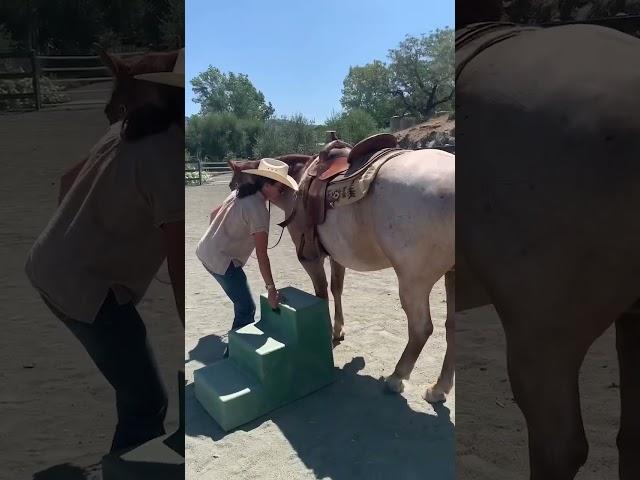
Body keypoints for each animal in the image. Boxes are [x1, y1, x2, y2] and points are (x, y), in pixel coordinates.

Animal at [230, 144, 456, 404]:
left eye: (234, 185)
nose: (231, 203)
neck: (296, 184)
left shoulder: (310, 258)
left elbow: (320, 294)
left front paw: (325, 334)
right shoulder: (337, 256)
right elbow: (336, 288)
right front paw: (338, 330)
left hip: (413, 281)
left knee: (421, 329)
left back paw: (396, 378)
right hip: (454, 276)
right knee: (452, 327)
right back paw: (438, 388)